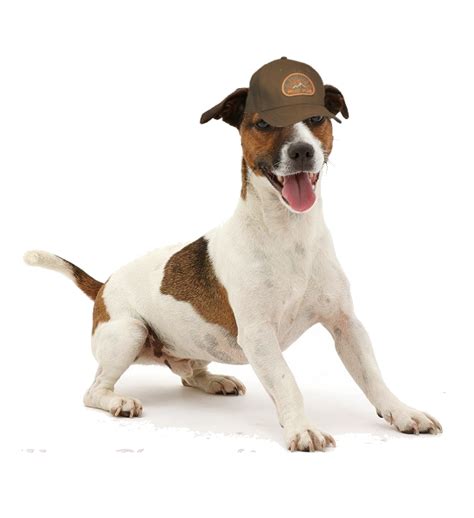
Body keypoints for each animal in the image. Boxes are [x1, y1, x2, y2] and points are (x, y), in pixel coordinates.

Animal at [25, 59, 440, 452]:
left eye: (317, 118)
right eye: (263, 124)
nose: (302, 151)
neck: (290, 235)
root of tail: (103, 285)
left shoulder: (346, 325)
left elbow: (373, 377)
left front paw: (403, 413)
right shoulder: (258, 336)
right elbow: (287, 382)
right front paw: (302, 429)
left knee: (188, 374)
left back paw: (214, 380)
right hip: (129, 332)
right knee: (94, 389)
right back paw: (119, 402)